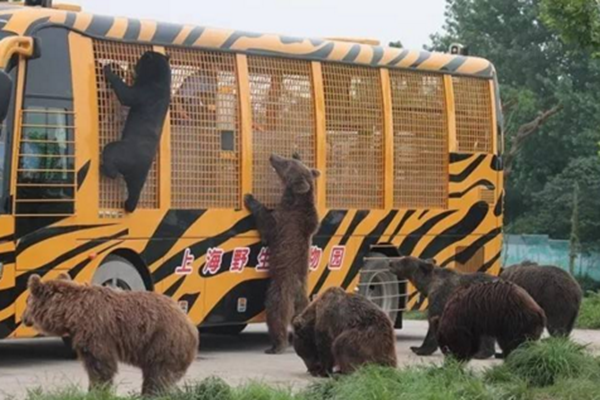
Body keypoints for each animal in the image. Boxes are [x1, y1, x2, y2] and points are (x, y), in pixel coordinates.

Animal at [21, 274, 199, 396]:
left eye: (27, 301)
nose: (23, 318)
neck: (72, 313)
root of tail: (190, 325)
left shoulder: (96, 331)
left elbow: (100, 365)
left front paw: (96, 390)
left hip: (163, 341)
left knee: (158, 375)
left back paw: (150, 393)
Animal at [100, 50, 171, 212]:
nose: (134, 64)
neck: (160, 80)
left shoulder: (144, 92)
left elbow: (126, 95)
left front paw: (109, 69)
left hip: (120, 151)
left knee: (110, 155)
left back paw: (104, 169)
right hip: (140, 177)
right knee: (135, 191)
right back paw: (128, 205)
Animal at [244, 152, 322, 354]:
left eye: (286, 164)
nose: (273, 156)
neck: (295, 200)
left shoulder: (284, 222)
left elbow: (266, 224)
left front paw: (250, 198)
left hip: (280, 290)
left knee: (276, 315)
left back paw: (276, 345)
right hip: (303, 301)